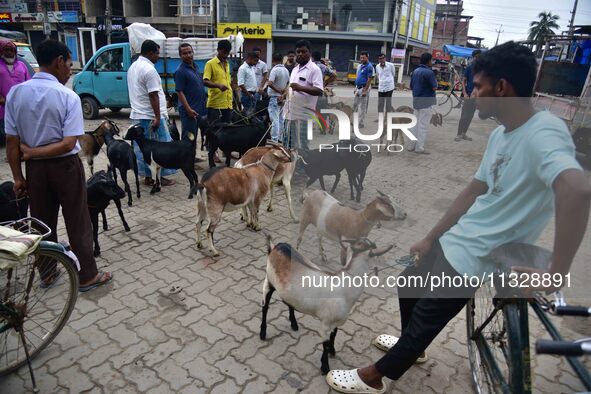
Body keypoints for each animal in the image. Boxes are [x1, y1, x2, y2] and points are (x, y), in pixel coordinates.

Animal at [260, 235, 394, 374]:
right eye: (370, 246)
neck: (344, 287)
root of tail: (277, 246)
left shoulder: (336, 321)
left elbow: (334, 334)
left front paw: (332, 350)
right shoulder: (325, 323)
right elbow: (325, 343)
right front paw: (325, 367)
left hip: (288, 292)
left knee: (288, 302)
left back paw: (294, 324)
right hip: (268, 281)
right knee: (265, 306)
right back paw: (263, 333)